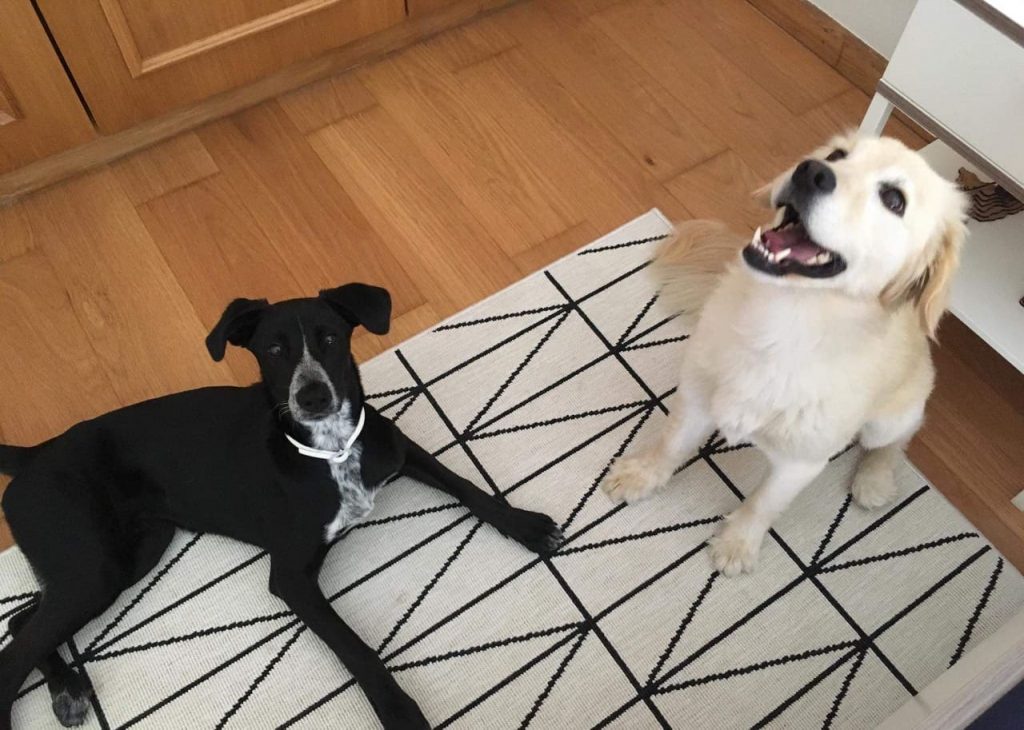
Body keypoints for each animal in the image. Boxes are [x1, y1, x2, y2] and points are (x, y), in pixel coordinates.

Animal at [0, 283, 562, 729]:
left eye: (330, 339)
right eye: (273, 349)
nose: (312, 397)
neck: (330, 448)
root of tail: (35, 453)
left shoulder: (399, 450)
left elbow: (467, 486)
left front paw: (526, 525)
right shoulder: (291, 578)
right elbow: (356, 650)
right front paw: (400, 712)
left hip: (127, 556)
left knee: (22, 622)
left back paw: (68, 688)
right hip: (93, 564)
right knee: (13, 655)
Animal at [602, 134, 968, 576]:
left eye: (894, 199)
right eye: (838, 155)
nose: (811, 172)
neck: (782, 323)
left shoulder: (800, 463)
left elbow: (762, 504)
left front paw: (738, 544)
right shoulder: (696, 400)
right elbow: (671, 445)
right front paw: (643, 475)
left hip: (891, 418)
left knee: (896, 440)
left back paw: (874, 479)